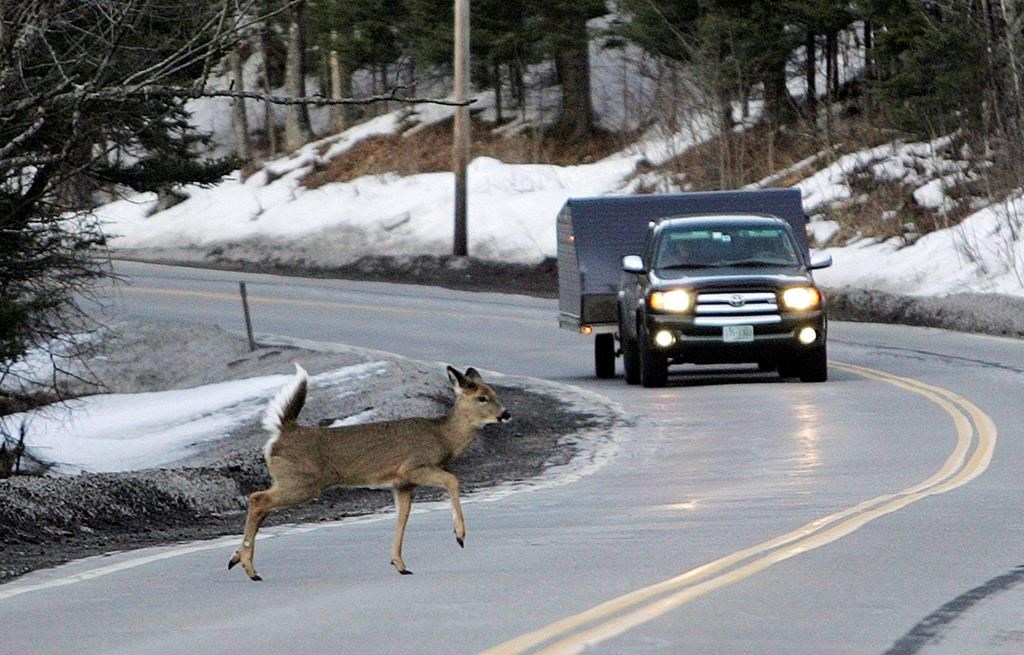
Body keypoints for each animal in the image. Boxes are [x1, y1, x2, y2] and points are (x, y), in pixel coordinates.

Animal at [228, 363, 511, 581]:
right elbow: (453, 480)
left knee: (262, 505)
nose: (506, 413)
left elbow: (403, 517)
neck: (444, 438)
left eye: (495, 393)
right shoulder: (413, 467)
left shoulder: (402, 484)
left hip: (290, 480)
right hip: (303, 481)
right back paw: (250, 568)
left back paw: (237, 559)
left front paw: (399, 564)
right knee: (257, 499)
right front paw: (460, 535)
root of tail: (283, 432)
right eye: (482, 397)